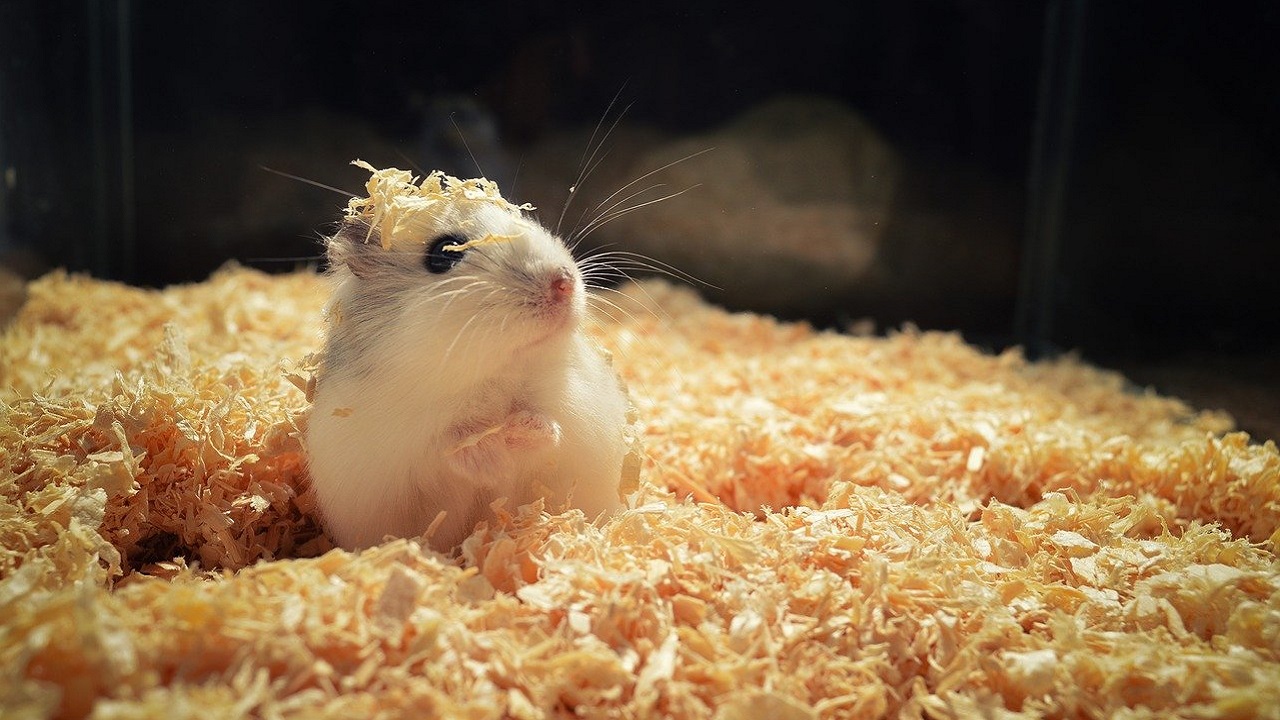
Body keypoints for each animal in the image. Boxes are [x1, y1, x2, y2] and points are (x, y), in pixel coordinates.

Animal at [305, 162, 630, 552]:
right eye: (444, 253)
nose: (563, 283)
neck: (492, 375)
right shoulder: (403, 441)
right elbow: (448, 445)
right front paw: (492, 455)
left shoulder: (574, 405)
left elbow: (548, 424)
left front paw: (520, 432)